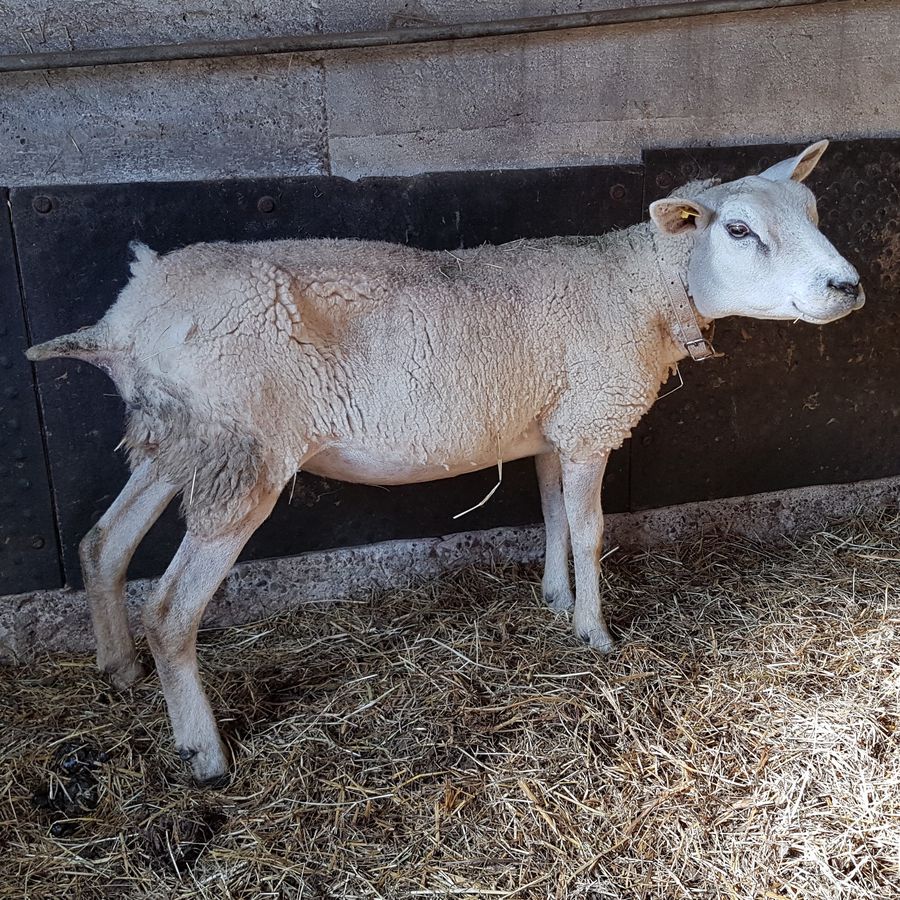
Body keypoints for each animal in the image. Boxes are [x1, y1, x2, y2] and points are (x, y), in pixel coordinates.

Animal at [26, 140, 864, 783]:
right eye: (739, 229)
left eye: (815, 213)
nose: (848, 286)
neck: (642, 289)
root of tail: (129, 319)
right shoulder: (590, 422)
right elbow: (591, 531)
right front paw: (594, 634)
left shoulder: (551, 427)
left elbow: (552, 517)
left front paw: (555, 600)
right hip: (242, 453)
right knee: (170, 610)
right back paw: (205, 754)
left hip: (182, 442)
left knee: (102, 544)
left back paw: (117, 668)